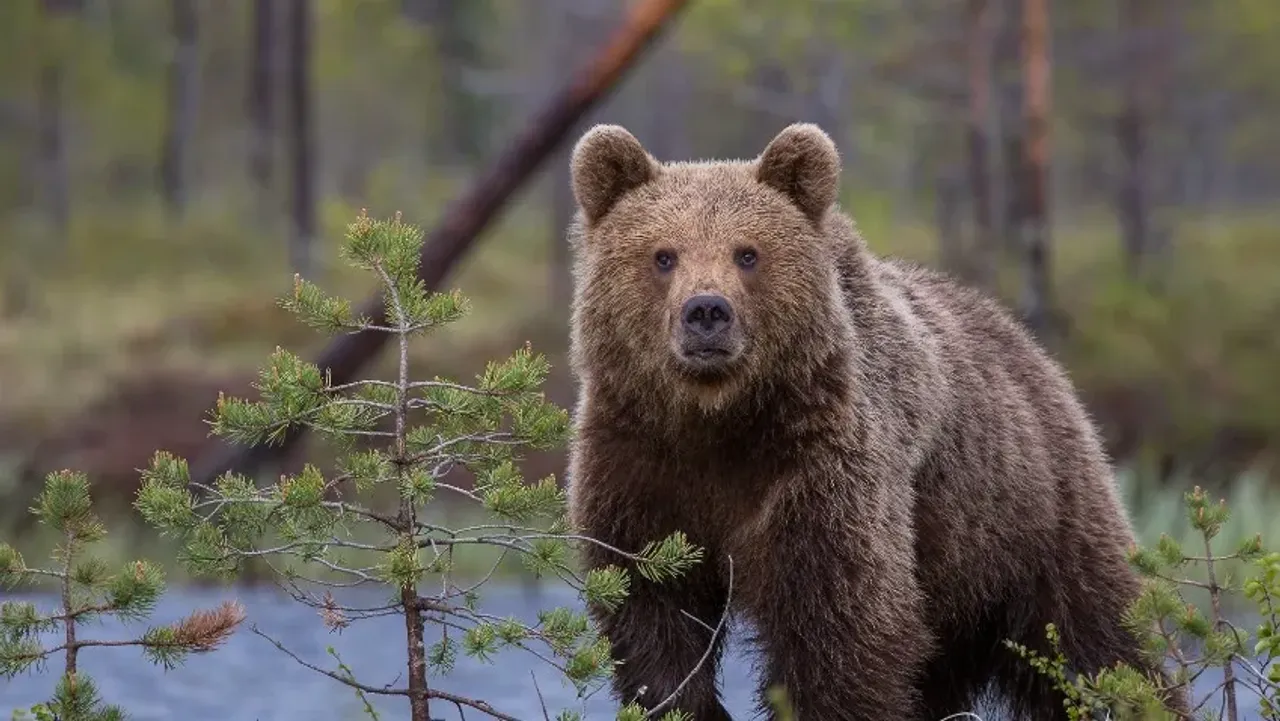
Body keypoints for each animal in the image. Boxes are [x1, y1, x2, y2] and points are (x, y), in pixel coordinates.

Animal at [563, 124, 1177, 721]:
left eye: (748, 253)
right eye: (664, 255)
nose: (707, 311)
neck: (718, 420)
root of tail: (1029, 346)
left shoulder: (821, 468)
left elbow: (843, 628)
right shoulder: (640, 465)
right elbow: (653, 616)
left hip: (1035, 517)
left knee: (1098, 638)